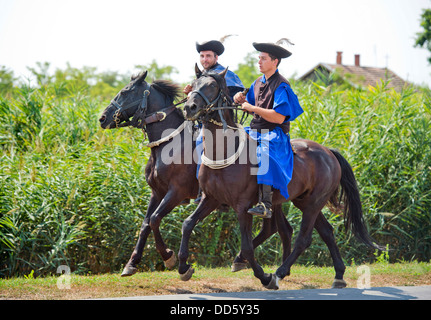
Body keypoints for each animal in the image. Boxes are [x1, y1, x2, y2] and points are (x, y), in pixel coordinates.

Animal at [98, 71, 294, 276]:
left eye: (125, 92)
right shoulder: (157, 193)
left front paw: (169, 256)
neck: (169, 143)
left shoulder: (176, 192)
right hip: (274, 202)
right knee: (279, 229)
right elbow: (145, 224)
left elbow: (154, 219)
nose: (102, 118)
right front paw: (132, 263)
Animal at [180, 67, 384, 290]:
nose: (189, 107)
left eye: (212, 86)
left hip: (313, 203)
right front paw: (183, 267)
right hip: (303, 201)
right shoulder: (211, 199)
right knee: (326, 232)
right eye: (193, 84)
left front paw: (264, 276)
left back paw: (279, 272)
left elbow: (248, 246)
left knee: (303, 239)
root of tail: (328, 152)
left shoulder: (243, 207)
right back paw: (338, 274)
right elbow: (188, 224)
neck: (224, 151)